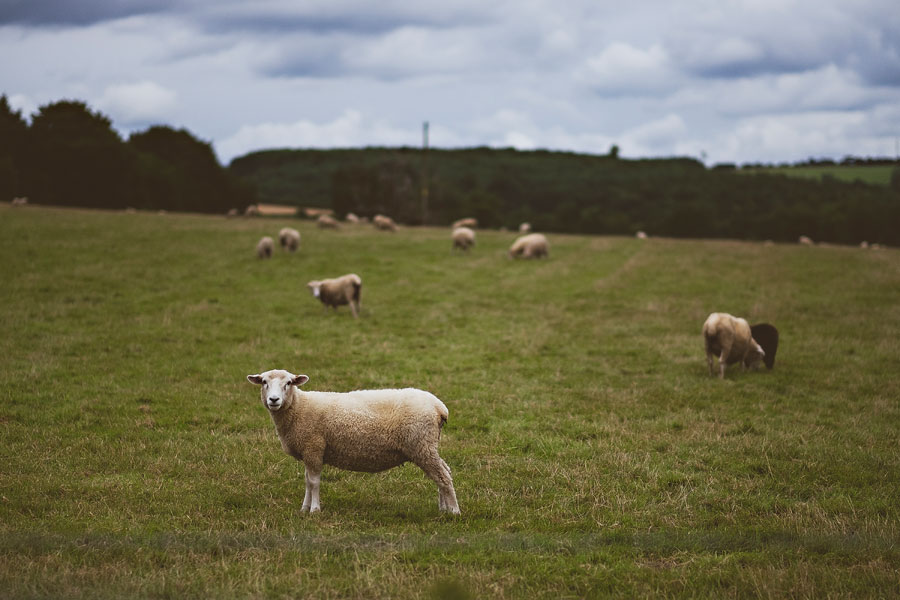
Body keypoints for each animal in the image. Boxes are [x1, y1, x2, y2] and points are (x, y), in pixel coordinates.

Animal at [244, 370, 460, 516]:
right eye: (264, 382)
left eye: (288, 383)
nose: (273, 400)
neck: (299, 407)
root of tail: (439, 407)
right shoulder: (308, 451)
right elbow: (307, 481)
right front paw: (304, 508)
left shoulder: (314, 446)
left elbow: (314, 482)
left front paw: (314, 509)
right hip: (427, 445)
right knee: (444, 472)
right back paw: (443, 509)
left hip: (421, 444)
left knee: (442, 476)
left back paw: (454, 511)